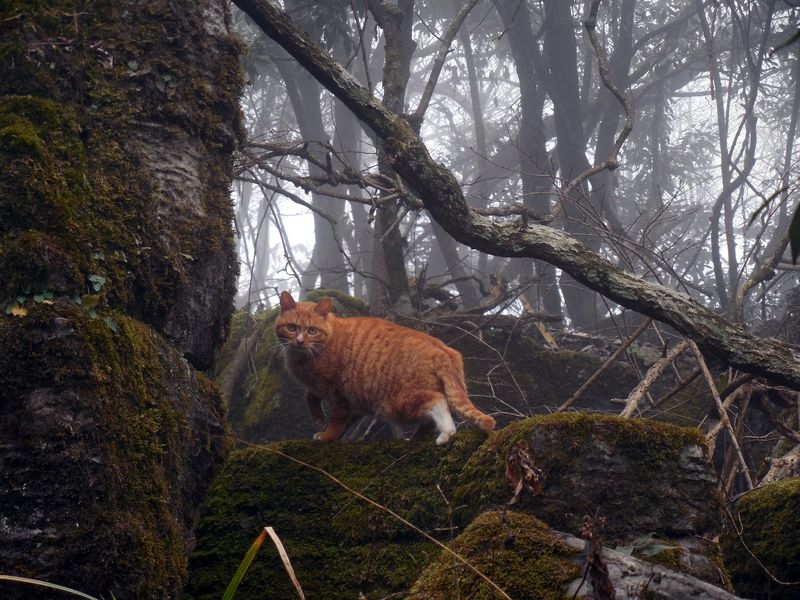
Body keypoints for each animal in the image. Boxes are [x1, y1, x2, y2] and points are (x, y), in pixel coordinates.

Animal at [276, 292, 494, 446]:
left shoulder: (337, 393)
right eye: (292, 328)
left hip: (400, 402)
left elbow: (337, 419)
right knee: (432, 415)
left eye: (312, 330)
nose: (299, 341)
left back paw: (446, 434)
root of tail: (444, 350)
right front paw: (317, 416)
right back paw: (420, 436)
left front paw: (326, 434)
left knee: (437, 402)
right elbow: (309, 396)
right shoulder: (317, 386)